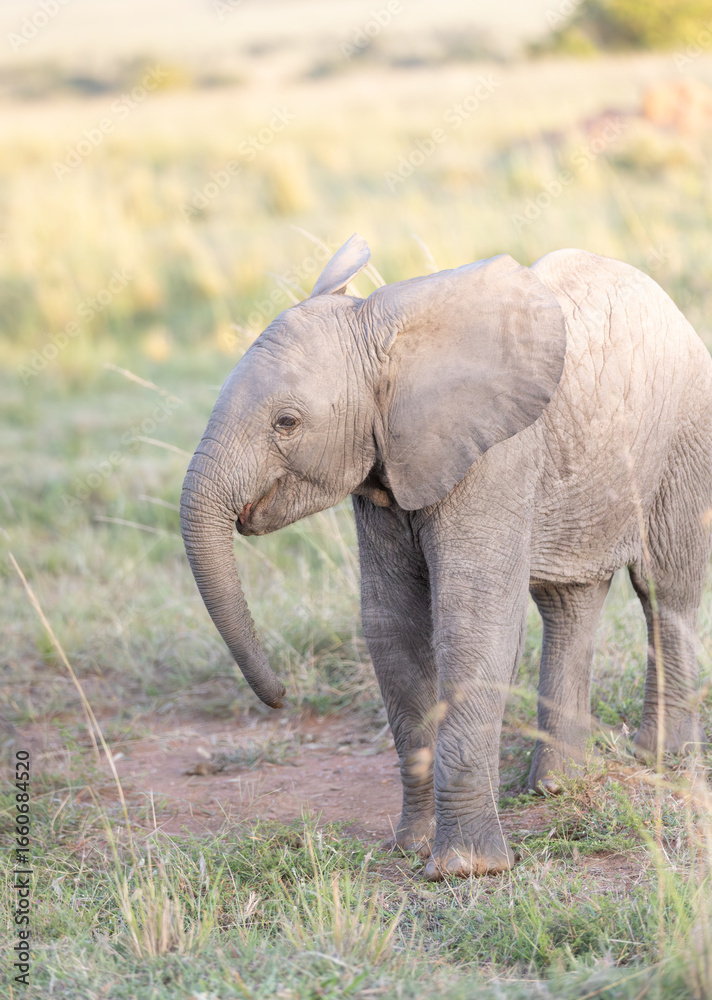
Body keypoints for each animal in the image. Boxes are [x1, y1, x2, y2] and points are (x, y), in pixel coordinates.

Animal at [180, 234, 712, 880]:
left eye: (287, 422)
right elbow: (393, 626)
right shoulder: (385, 465)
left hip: (683, 435)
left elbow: (471, 621)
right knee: (567, 602)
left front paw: (465, 870)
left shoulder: (495, 456)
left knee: (666, 586)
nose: (280, 696)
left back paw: (663, 761)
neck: (386, 335)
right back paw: (556, 786)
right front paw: (411, 848)